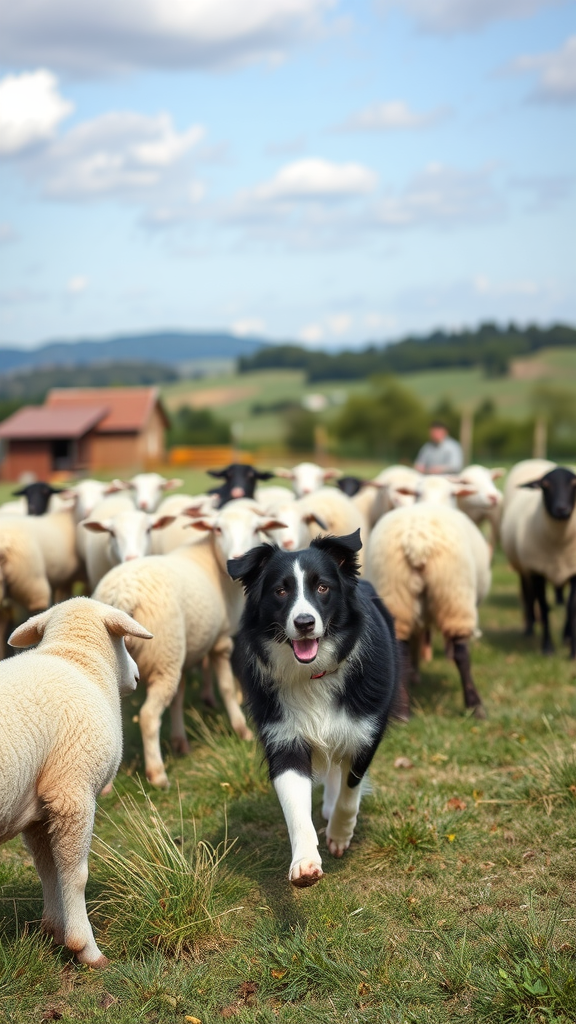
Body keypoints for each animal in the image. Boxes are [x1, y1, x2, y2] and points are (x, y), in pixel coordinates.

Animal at [0, 597, 152, 966]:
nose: (138, 675)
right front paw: (85, 947)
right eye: (123, 640)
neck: (75, 659)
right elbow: (75, 873)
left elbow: (47, 868)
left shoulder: (37, 810)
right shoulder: (72, 790)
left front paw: (54, 928)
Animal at [94, 501, 287, 788]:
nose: (239, 557)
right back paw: (157, 775)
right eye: (218, 529)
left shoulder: (184, 653)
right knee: (149, 717)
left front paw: (180, 743)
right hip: (164, 654)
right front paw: (242, 729)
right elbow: (226, 687)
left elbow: (179, 696)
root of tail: (121, 596)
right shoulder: (220, 642)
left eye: (256, 529)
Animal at [366, 503, 491, 719]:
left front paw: (415, 674)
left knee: (401, 648)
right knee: (462, 653)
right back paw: (475, 706)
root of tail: (417, 541)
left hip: (395, 593)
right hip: (455, 595)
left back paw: (401, 713)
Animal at [500, 460, 576, 656]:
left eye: (574, 483)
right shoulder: (536, 571)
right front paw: (548, 647)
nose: (562, 509)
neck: (560, 543)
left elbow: (571, 608)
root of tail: (534, 462)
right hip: (524, 567)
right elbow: (543, 605)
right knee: (528, 595)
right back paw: (529, 629)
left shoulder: (574, 573)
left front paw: (571, 648)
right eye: (545, 485)